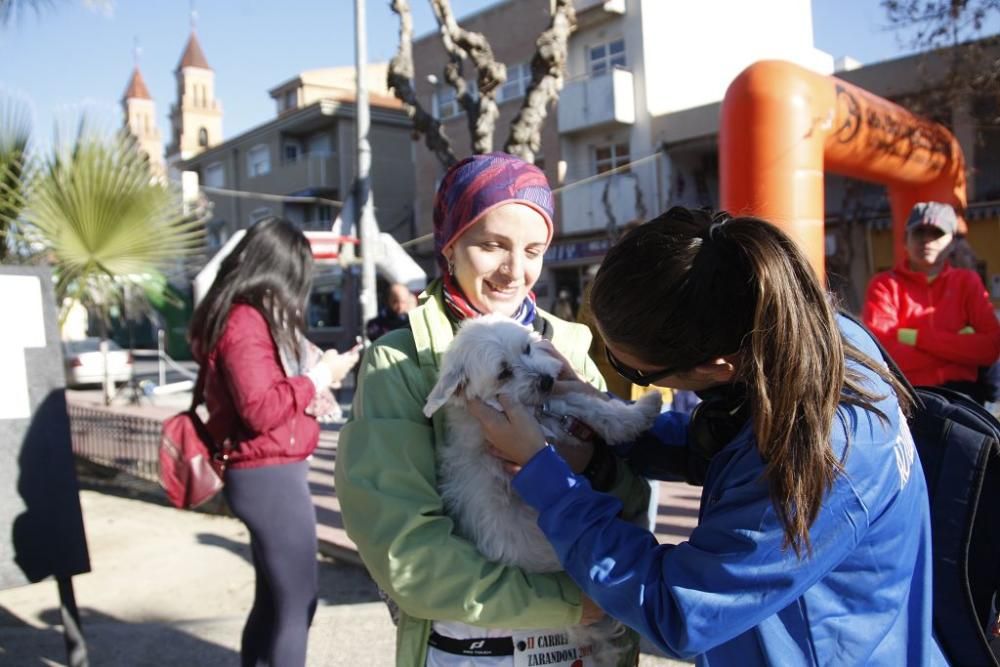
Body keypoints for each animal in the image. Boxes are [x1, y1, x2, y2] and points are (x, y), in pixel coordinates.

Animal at [424, 316, 664, 664]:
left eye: (527, 348)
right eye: (503, 372)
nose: (548, 380)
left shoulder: (554, 404)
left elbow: (586, 405)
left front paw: (636, 412)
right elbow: (587, 410)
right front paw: (639, 414)